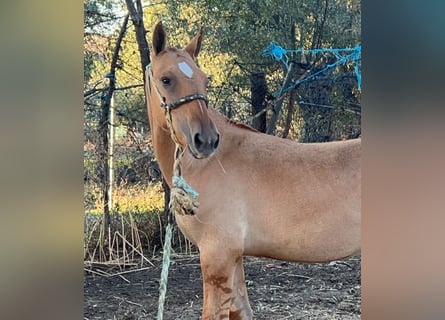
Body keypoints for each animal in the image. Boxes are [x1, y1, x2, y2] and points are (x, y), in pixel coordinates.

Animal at [144, 21, 360, 318]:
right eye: (166, 79)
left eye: (204, 79)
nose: (206, 140)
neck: (212, 163)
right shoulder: (234, 257)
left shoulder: (217, 255)